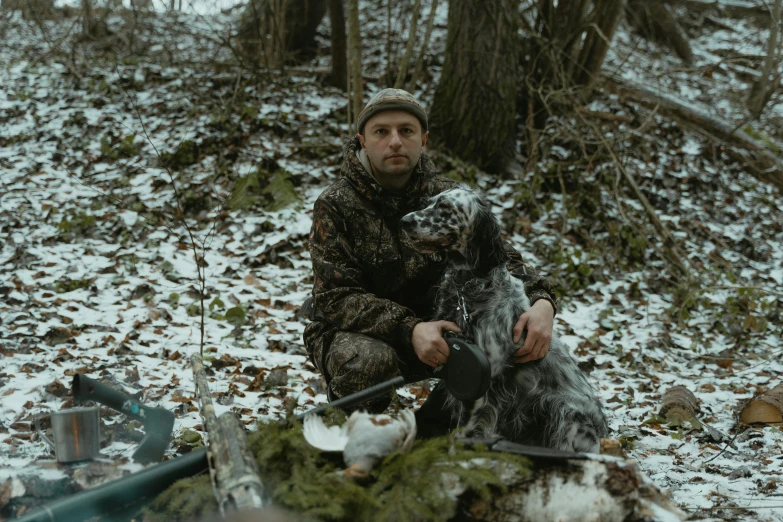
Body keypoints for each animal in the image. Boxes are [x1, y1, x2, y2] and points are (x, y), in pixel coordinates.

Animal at [402, 186, 608, 450]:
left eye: (445, 207)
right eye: (428, 203)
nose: (404, 220)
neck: (467, 286)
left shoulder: (481, 382)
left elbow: (462, 433)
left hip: (565, 413)